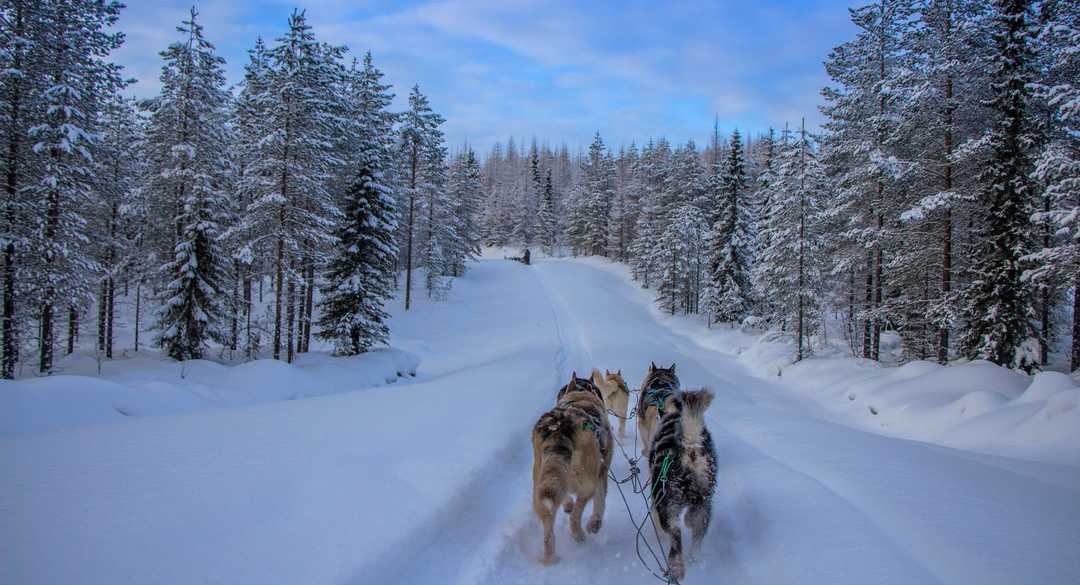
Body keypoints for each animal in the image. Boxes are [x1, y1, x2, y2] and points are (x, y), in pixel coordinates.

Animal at [533, 373, 613, 565]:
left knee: (549, 527)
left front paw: (568, 504)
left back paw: (549, 557)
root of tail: (559, 428)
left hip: (542, 485)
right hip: (587, 485)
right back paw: (579, 535)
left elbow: (566, 498)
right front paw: (595, 523)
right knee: (575, 516)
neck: (580, 397)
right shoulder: (602, 472)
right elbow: (600, 502)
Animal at [648, 390, 717, 582]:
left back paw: (676, 567)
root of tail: (691, 445)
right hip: (704, 505)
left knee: (675, 535)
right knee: (696, 534)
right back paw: (693, 557)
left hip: (667, 507)